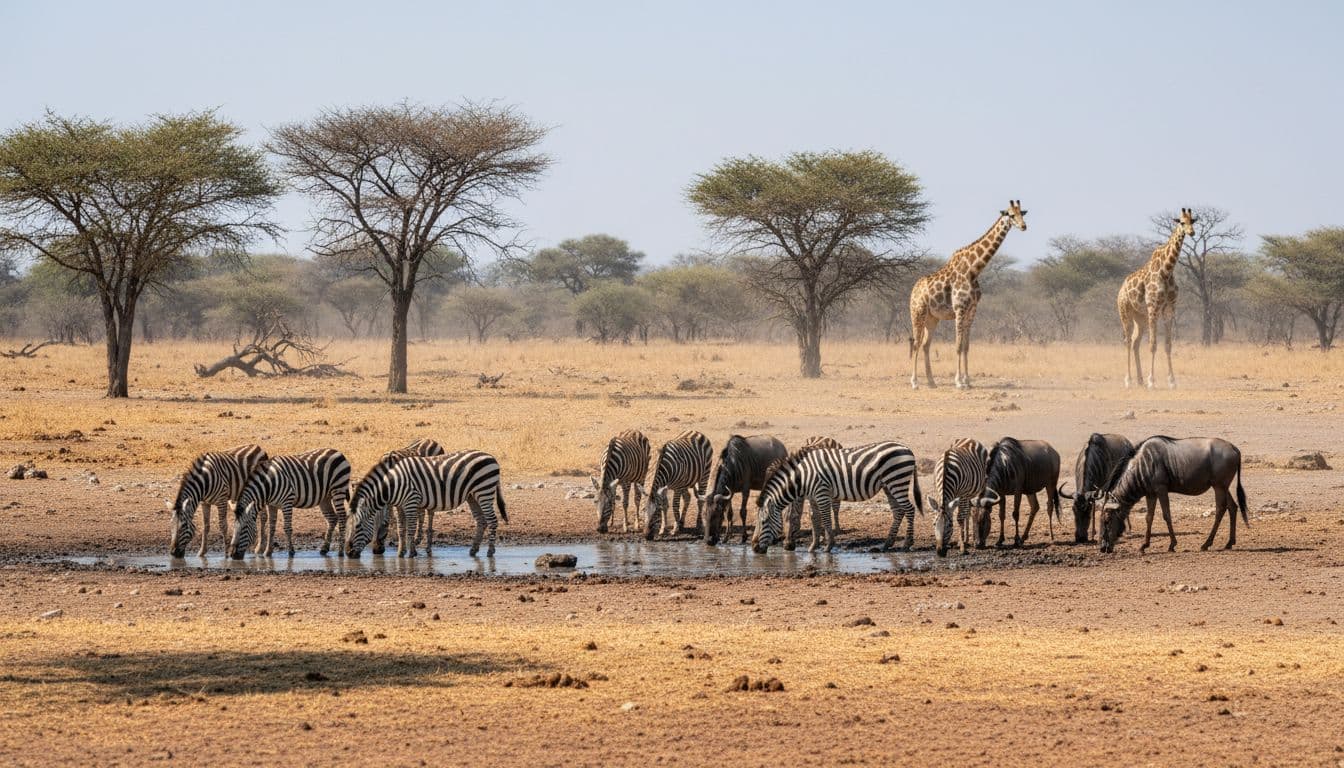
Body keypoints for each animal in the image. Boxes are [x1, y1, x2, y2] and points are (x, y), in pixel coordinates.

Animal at [345, 451, 508, 558]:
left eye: (358, 526)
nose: (348, 553)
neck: (393, 484)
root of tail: (491, 456)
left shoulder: (411, 501)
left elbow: (411, 528)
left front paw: (411, 553)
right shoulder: (399, 506)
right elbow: (401, 528)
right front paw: (401, 553)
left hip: (484, 491)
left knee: (492, 520)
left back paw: (490, 551)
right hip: (472, 495)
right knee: (481, 521)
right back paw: (473, 550)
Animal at [752, 442, 922, 554]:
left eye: (764, 522)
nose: (755, 549)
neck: (802, 477)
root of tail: (907, 449)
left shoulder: (821, 493)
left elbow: (826, 518)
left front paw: (828, 546)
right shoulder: (812, 496)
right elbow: (815, 518)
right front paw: (813, 546)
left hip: (897, 481)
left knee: (909, 509)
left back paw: (906, 543)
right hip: (888, 485)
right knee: (898, 511)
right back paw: (887, 544)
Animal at [909, 200, 1028, 389]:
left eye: (1021, 213)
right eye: (1010, 214)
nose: (1024, 226)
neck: (973, 270)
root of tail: (913, 290)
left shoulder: (972, 310)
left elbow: (966, 346)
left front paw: (968, 381)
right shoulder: (960, 309)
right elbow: (957, 345)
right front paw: (958, 382)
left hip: (932, 318)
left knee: (926, 345)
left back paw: (932, 382)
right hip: (917, 313)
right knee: (916, 344)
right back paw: (914, 382)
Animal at [1096, 436, 1247, 554]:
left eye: (1107, 520)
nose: (1103, 548)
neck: (1143, 465)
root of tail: (1234, 448)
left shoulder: (1161, 489)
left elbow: (1166, 515)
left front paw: (1172, 544)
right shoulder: (1150, 494)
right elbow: (1149, 517)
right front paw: (1144, 545)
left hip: (1219, 486)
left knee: (1220, 509)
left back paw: (1206, 544)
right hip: (1224, 487)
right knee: (1233, 507)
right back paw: (1229, 543)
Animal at [1118, 207, 1196, 389]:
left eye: (1193, 221)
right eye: (1182, 222)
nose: (1192, 232)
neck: (1166, 271)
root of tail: (1121, 289)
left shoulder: (1169, 309)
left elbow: (1168, 345)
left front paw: (1172, 381)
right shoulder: (1153, 307)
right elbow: (1153, 345)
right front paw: (1151, 381)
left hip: (1141, 318)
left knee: (1135, 342)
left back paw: (1139, 380)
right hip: (1125, 313)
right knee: (1127, 341)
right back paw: (1128, 380)